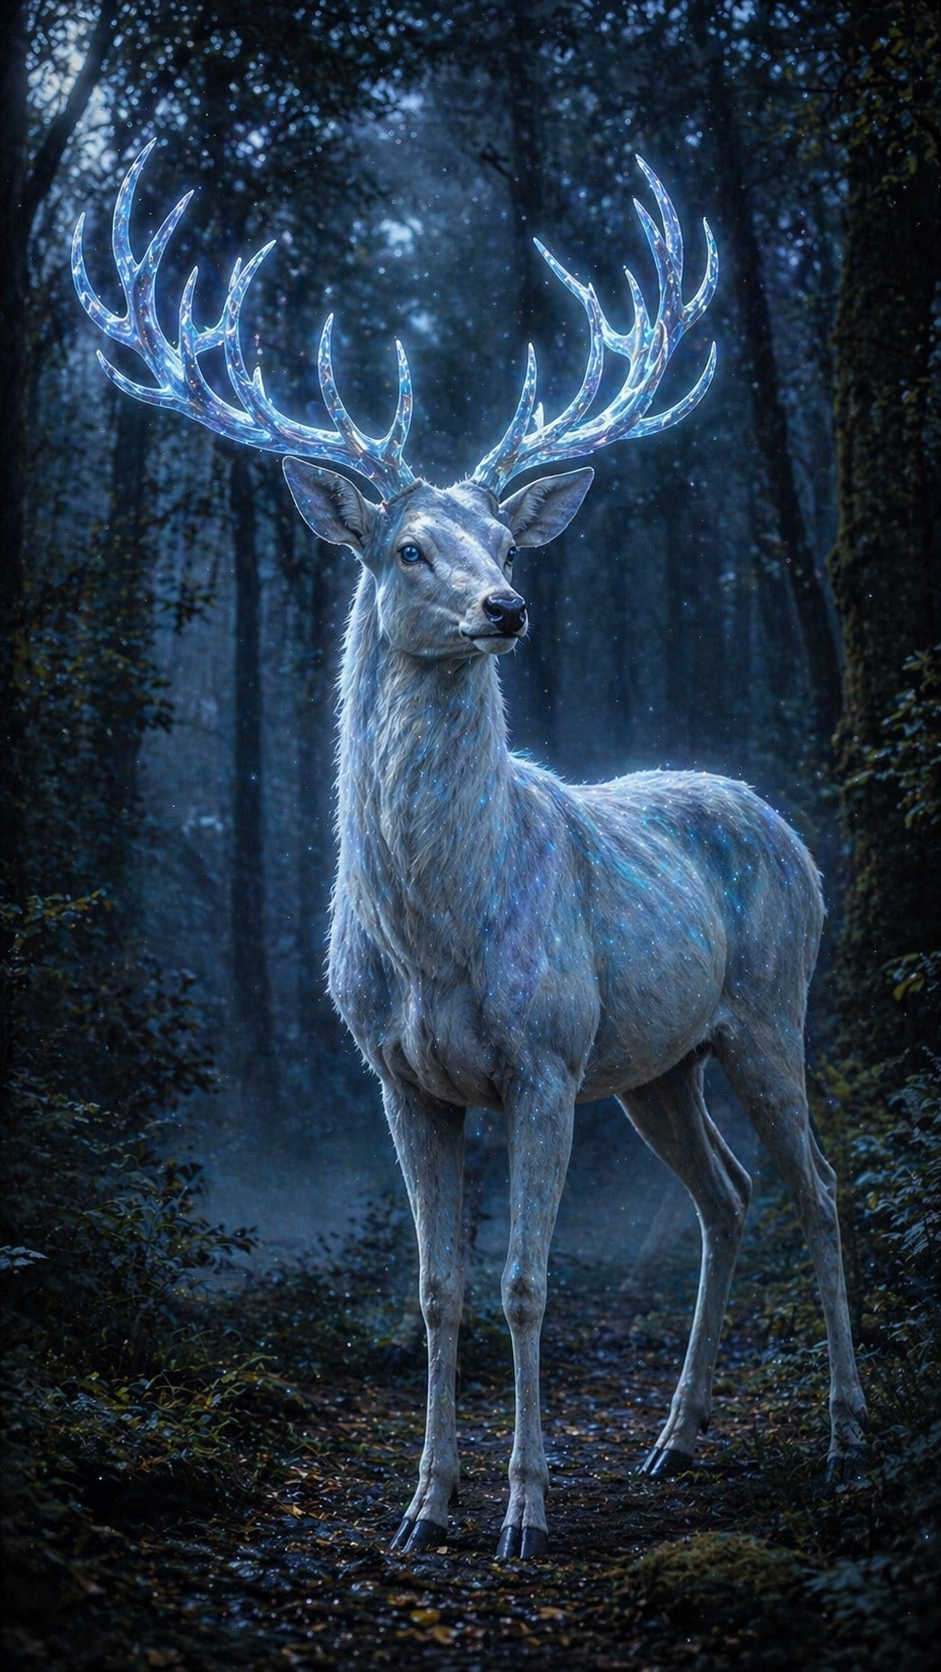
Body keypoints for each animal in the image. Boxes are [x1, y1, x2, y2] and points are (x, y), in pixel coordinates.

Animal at [73, 143, 868, 1560]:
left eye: (501, 541)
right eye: (407, 547)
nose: (507, 605)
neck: (434, 933)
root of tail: (778, 820)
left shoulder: (543, 1056)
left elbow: (525, 1283)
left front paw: (522, 1511)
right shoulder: (397, 1073)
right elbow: (438, 1287)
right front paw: (422, 1503)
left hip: (769, 1007)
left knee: (819, 1189)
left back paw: (841, 1435)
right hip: (659, 1061)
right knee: (727, 1197)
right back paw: (672, 1438)